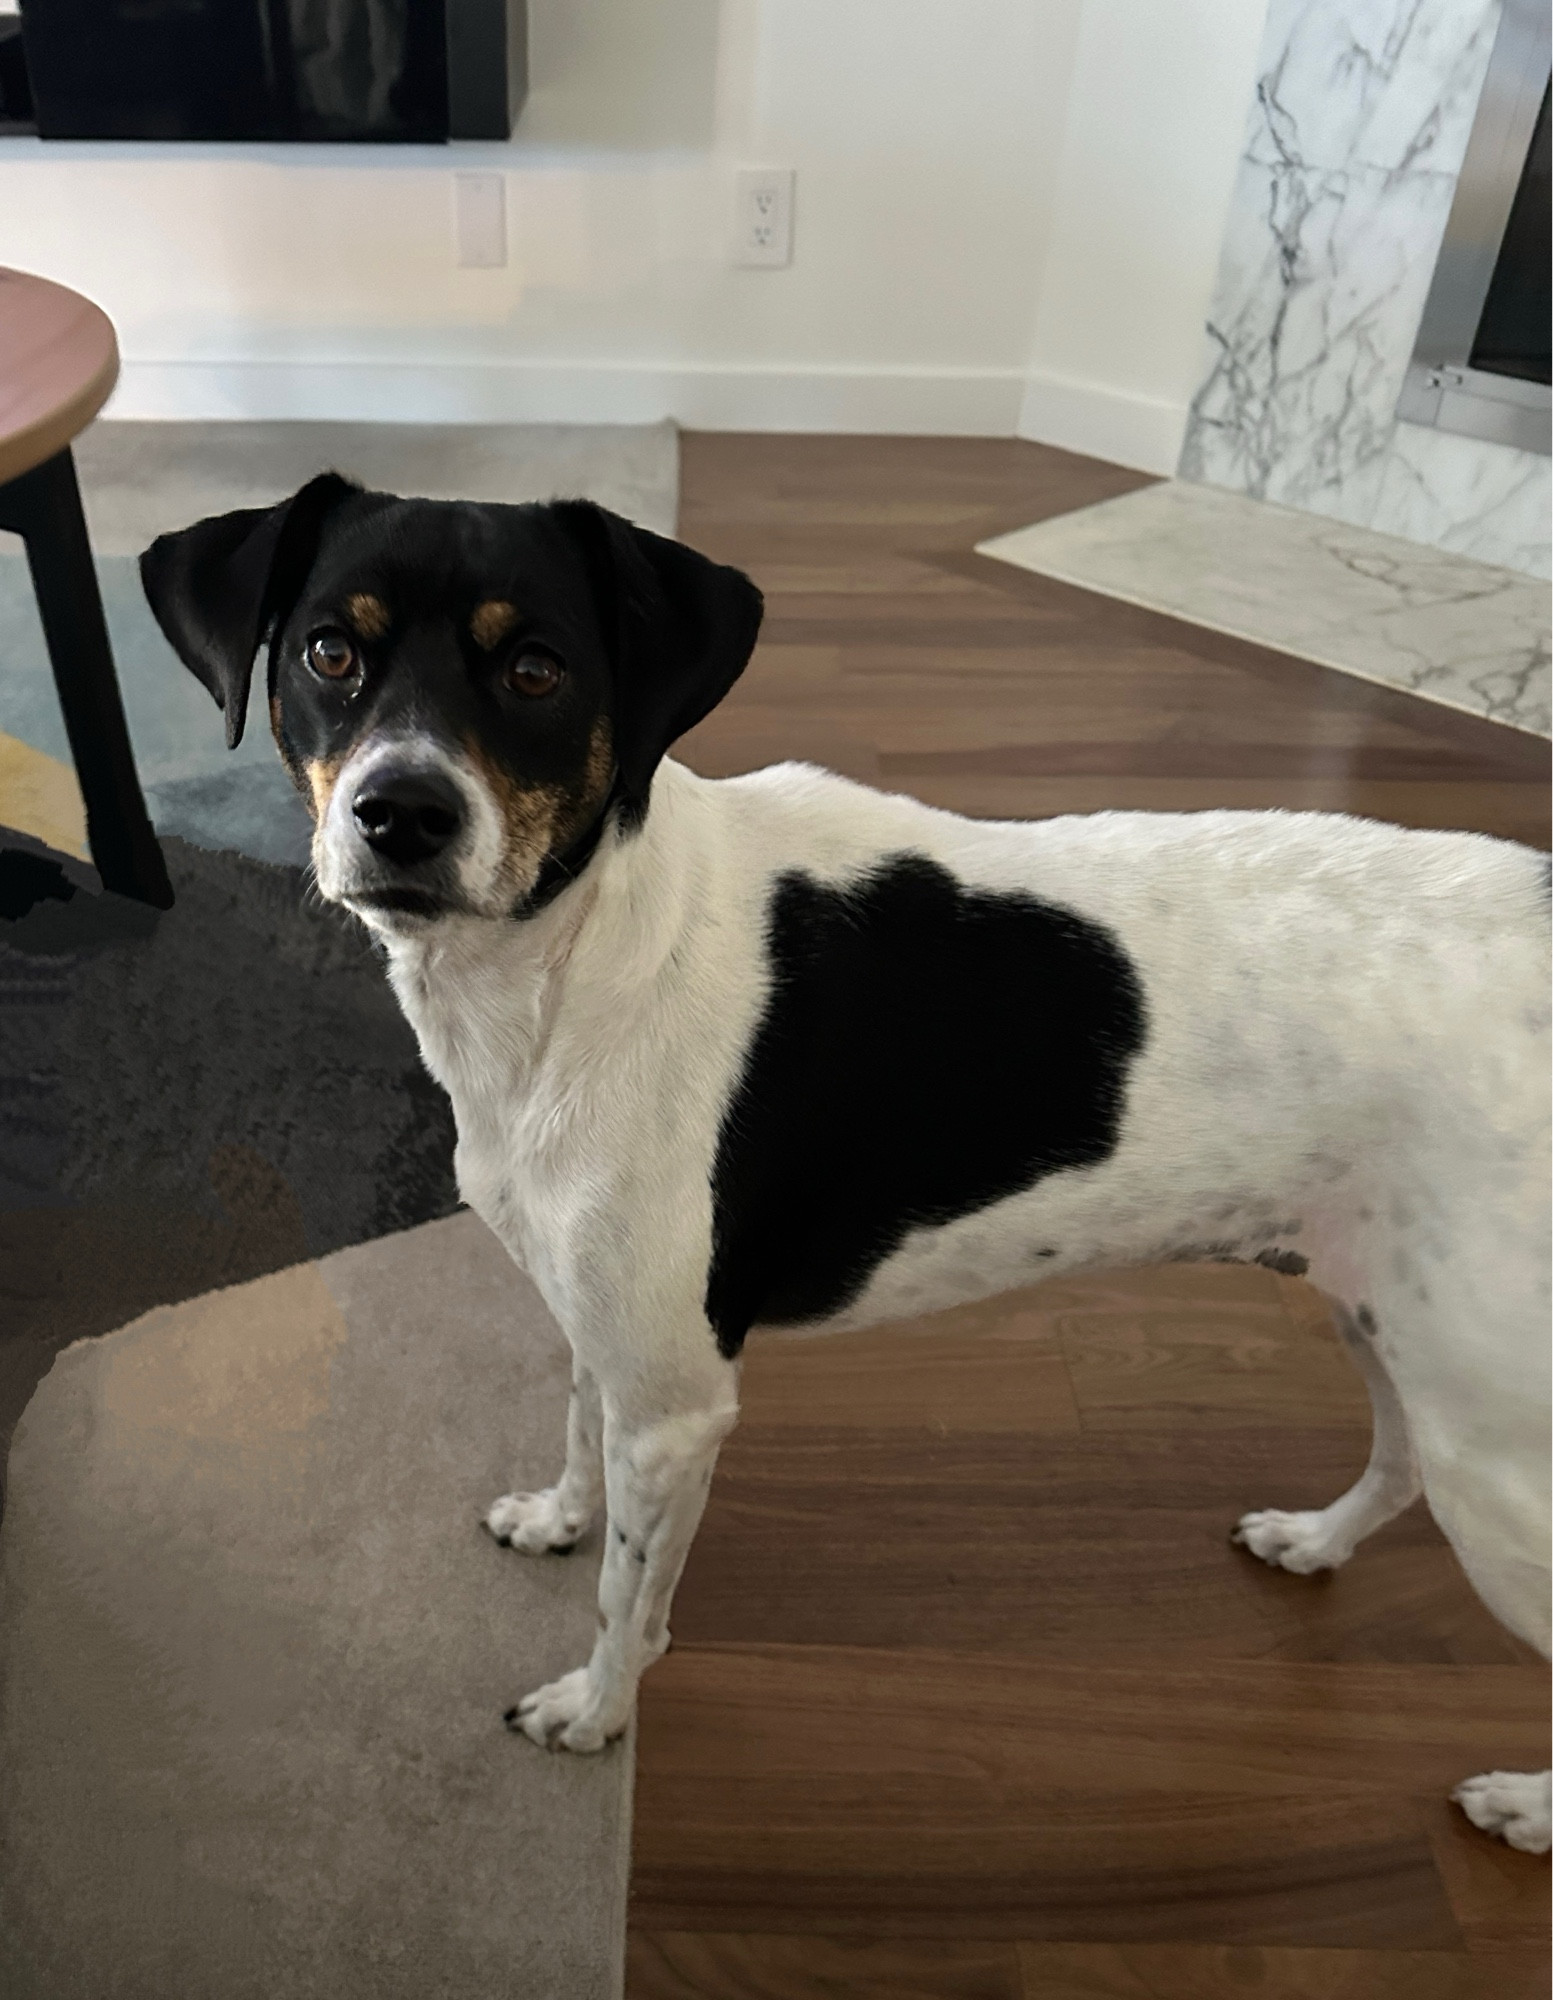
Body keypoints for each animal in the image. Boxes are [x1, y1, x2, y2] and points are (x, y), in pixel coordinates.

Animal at [142, 476, 1553, 1848]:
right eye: (329, 651)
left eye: (537, 670)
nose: (401, 813)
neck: (577, 957)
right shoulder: (605, 1331)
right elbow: (577, 1437)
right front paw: (554, 1518)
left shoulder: (679, 1404)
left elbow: (625, 1599)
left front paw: (595, 1714)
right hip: (1396, 1330)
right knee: (1396, 1461)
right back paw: (1312, 1541)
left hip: (1496, 1454)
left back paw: (1523, 1810)